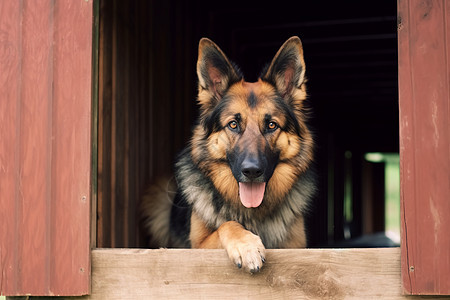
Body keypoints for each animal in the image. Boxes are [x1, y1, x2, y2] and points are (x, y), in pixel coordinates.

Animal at [141, 36, 316, 274]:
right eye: (233, 124)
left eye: (271, 125)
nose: (252, 171)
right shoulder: (195, 248)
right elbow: (227, 224)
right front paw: (247, 245)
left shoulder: (298, 246)